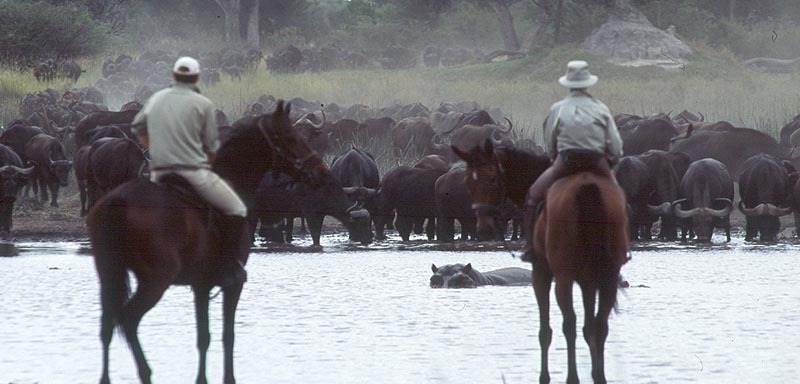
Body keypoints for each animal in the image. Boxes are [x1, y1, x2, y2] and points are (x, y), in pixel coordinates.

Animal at [86, 100, 324, 384]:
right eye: (290, 137)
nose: (320, 171)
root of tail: (117, 201)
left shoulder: (201, 284)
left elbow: (203, 337)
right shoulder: (232, 284)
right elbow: (227, 336)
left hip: (109, 273)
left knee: (107, 325)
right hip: (157, 278)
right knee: (128, 319)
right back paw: (146, 372)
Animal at [536, 172, 628, 382]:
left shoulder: (541, 272)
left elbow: (545, 331)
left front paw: (544, 376)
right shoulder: (589, 281)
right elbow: (589, 327)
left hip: (563, 277)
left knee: (569, 323)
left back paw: (573, 377)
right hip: (606, 277)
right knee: (600, 324)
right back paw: (600, 376)